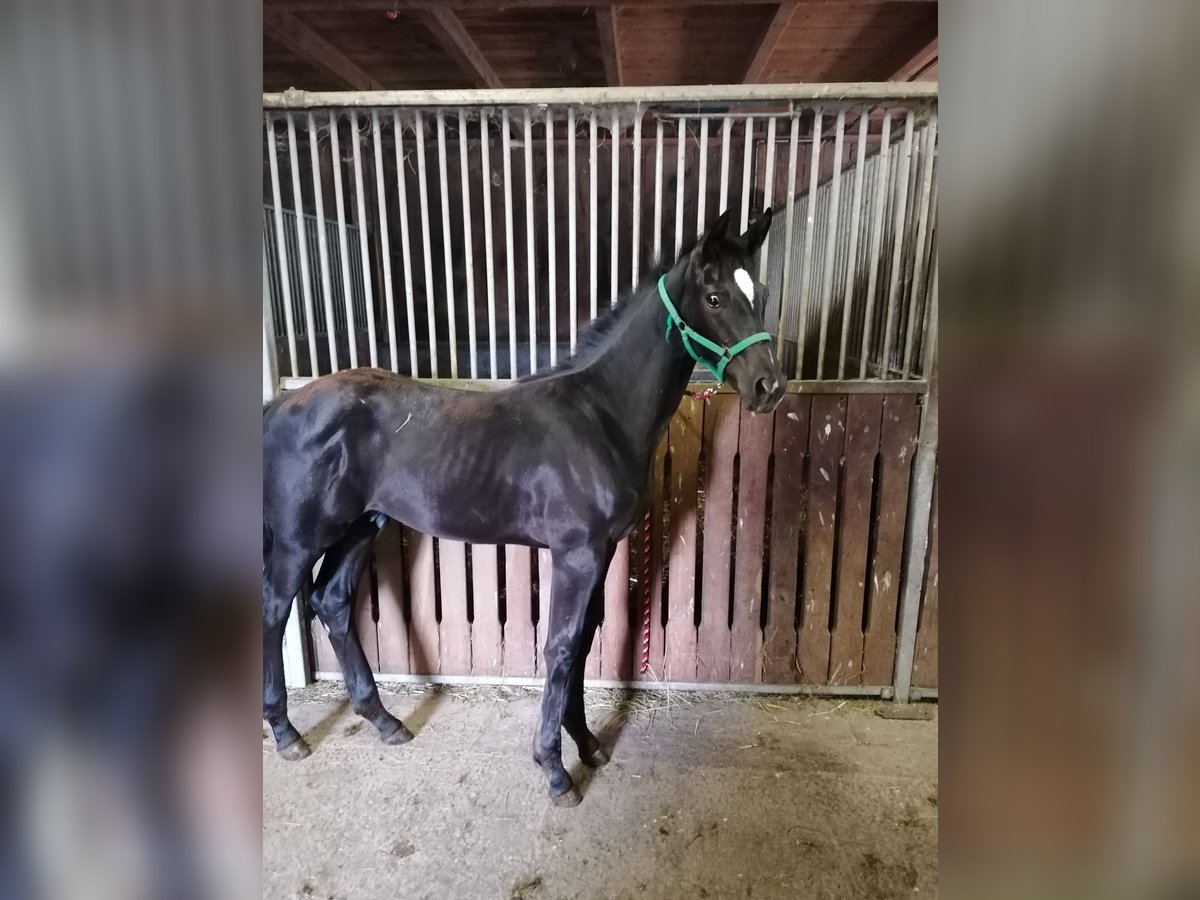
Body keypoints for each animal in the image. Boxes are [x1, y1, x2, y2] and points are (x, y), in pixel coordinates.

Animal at [265, 210, 787, 801]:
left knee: (331, 601)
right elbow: (560, 647)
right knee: (276, 608)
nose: (770, 387)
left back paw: (384, 720)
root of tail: (283, 403)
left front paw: (587, 743)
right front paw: (555, 769)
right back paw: (285, 732)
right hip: (301, 538)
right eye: (715, 297)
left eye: (761, 293)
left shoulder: (602, 552)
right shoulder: (576, 555)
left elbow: (584, 641)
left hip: (361, 525)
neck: (600, 415)